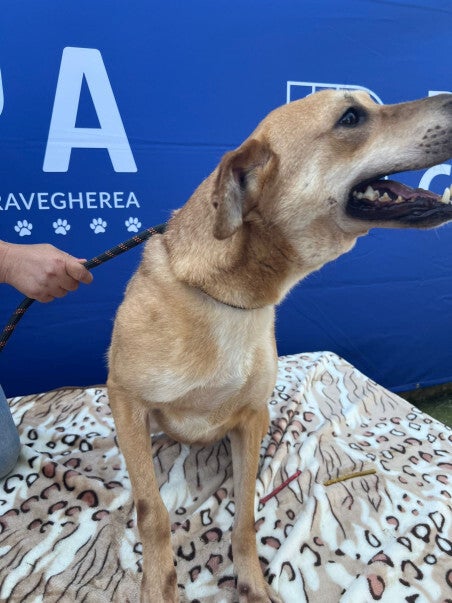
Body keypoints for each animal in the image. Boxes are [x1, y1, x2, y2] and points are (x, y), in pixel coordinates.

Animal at [107, 90, 452, 602]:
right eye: (351, 116)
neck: (229, 299)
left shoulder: (253, 417)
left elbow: (246, 513)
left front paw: (251, 581)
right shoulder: (125, 399)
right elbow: (153, 513)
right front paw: (158, 584)